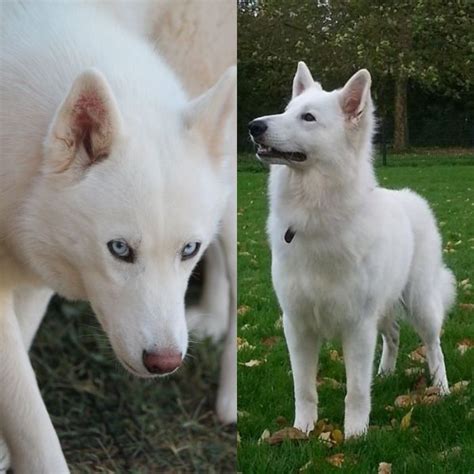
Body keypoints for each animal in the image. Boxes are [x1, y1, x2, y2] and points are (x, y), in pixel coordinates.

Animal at [248, 62, 456, 436]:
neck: (316, 215)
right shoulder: (297, 325)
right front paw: (301, 430)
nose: (254, 126)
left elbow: (356, 390)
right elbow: (304, 387)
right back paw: (385, 374)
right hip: (384, 308)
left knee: (434, 347)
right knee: (393, 335)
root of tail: (410, 197)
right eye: (286, 111)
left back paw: (441, 389)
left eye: (308, 117)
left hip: (420, 304)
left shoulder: (357, 326)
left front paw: (356, 435)